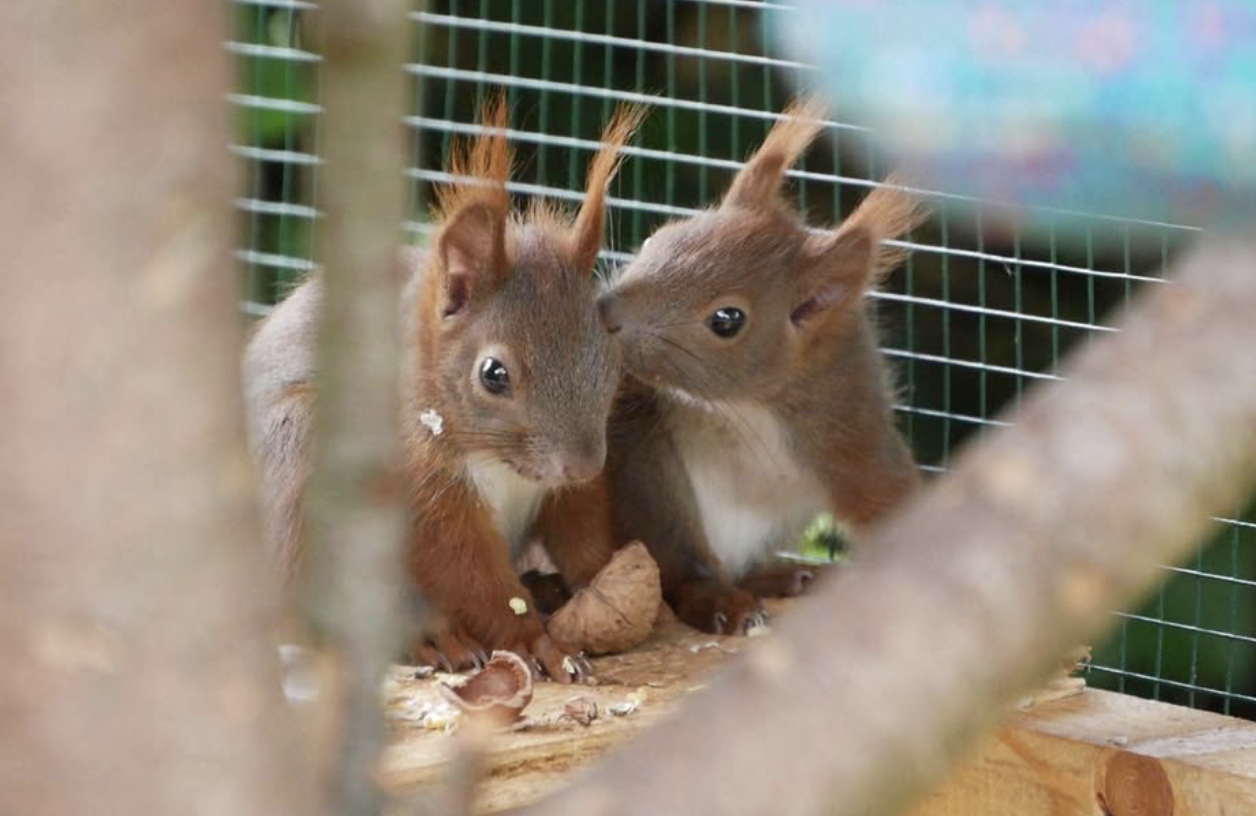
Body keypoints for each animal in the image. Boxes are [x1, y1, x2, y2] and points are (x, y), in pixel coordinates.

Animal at [243, 98, 645, 680]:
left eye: (609, 346)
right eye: (493, 374)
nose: (584, 464)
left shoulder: (567, 488)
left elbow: (581, 530)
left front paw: (609, 582)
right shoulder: (423, 491)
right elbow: (470, 575)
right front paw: (536, 641)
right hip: (296, 445)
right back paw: (431, 640)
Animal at [596, 97, 927, 635]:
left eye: (727, 319)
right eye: (658, 237)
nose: (605, 312)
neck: (746, 409)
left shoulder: (852, 441)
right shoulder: (643, 431)